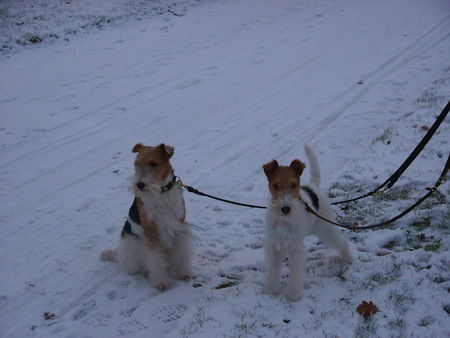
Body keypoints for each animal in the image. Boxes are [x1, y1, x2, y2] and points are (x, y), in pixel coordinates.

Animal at [100, 143, 192, 290]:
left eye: (153, 163)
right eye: (136, 164)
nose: (139, 185)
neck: (160, 192)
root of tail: (118, 252)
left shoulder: (179, 226)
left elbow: (181, 253)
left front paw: (184, 274)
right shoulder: (152, 233)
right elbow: (156, 260)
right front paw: (161, 283)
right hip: (132, 246)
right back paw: (146, 272)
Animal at [262, 145, 354, 302]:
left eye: (293, 185)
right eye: (275, 185)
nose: (285, 208)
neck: (284, 220)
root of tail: (313, 186)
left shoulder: (296, 248)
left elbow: (296, 273)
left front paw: (293, 295)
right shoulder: (274, 246)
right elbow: (273, 270)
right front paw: (272, 290)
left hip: (325, 227)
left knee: (341, 242)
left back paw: (348, 259)